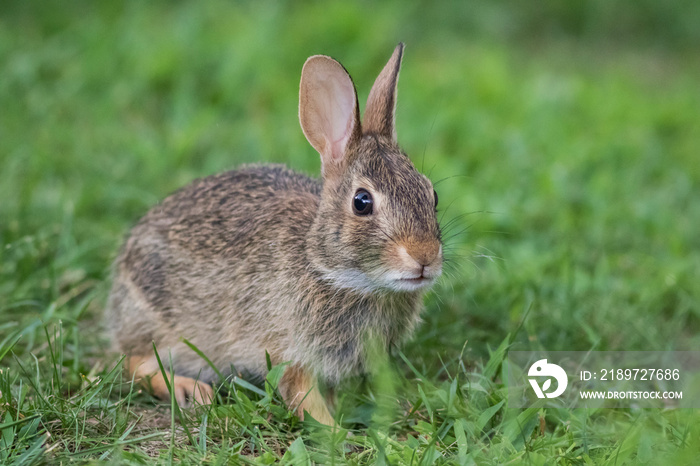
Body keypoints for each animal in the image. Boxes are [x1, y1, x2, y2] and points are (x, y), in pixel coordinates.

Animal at [105, 43, 442, 426]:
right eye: (362, 202)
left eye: (432, 195)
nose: (425, 257)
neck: (332, 270)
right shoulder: (290, 351)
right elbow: (303, 396)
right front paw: (337, 432)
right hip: (157, 322)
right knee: (134, 362)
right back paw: (189, 390)